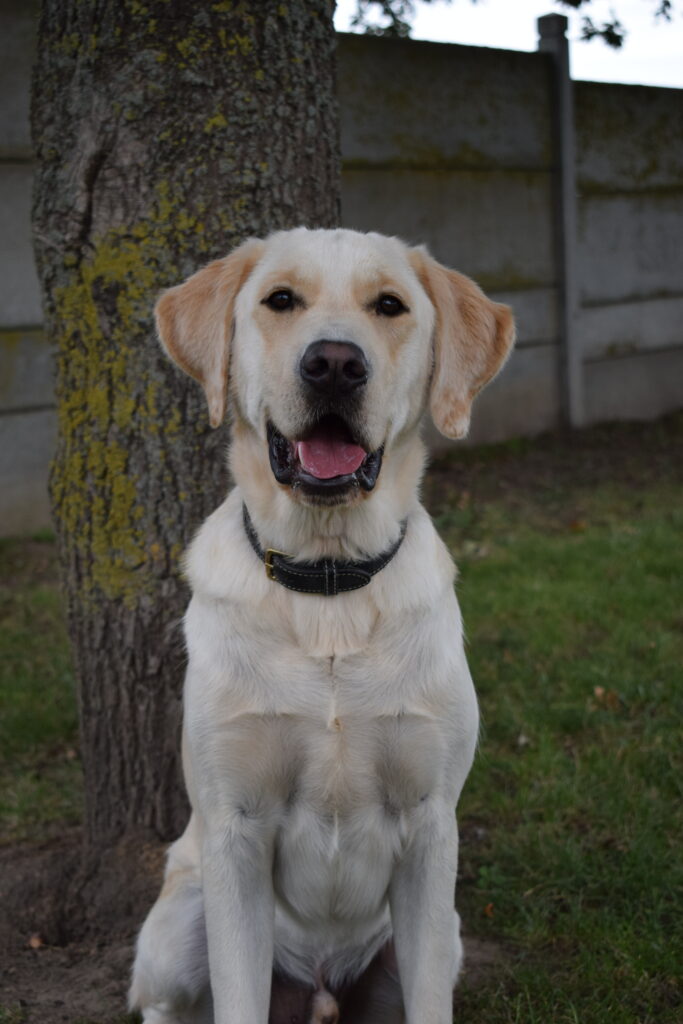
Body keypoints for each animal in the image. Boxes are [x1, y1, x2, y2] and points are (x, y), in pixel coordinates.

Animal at [129, 226, 511, 1024]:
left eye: (389, 306)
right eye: (281, 300)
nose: (334, 363)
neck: (329, 585)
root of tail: (323, 991)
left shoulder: (432, 831)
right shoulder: (235, 833)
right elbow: (236, 1001)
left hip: (442, 936)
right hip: (178, 925)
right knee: (162, 1002)